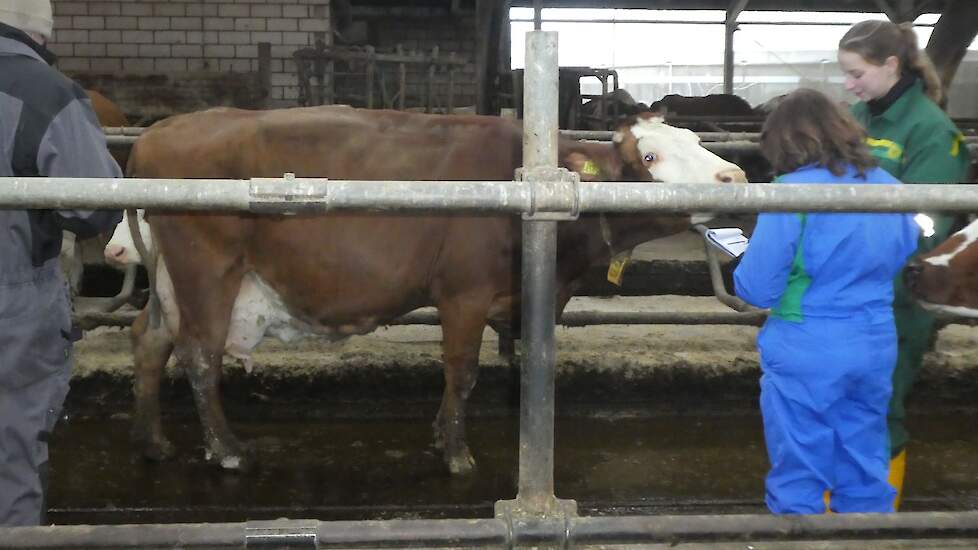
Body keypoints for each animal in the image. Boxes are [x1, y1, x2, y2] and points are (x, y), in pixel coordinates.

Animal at [107, 105, 744, 476]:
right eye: (650, 155)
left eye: (693, 139)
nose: (735, 176)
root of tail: (159, 133)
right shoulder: (463, 293)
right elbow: (461, 373)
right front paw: (456, 452)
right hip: (208, 270)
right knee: (200, 356)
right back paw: (228, 449)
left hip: (171, 278)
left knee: (149, 341)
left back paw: (150, 441)